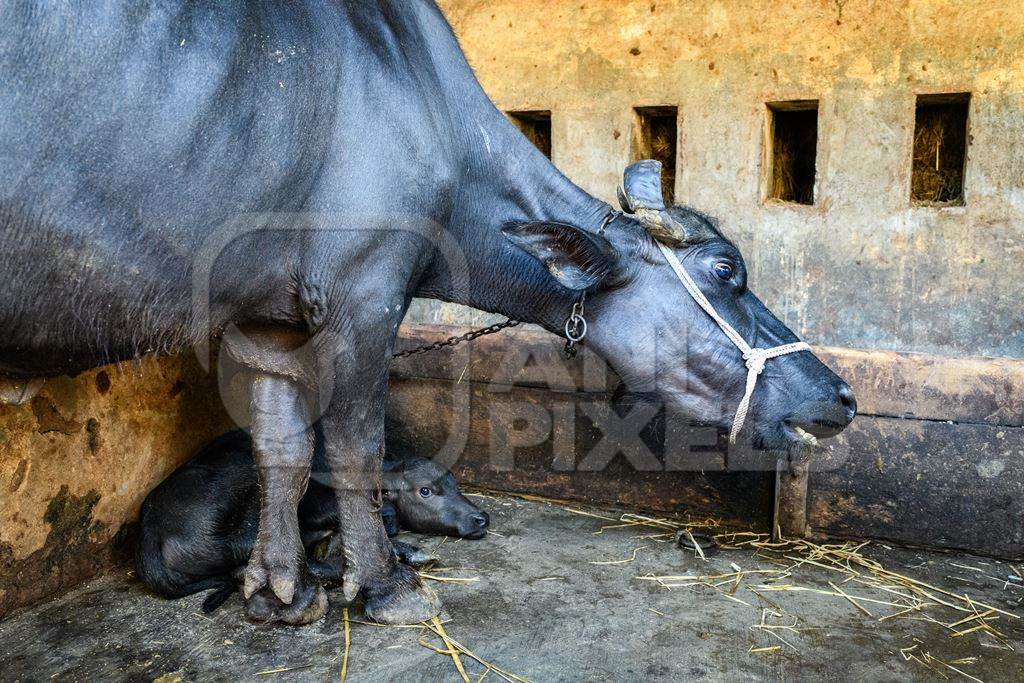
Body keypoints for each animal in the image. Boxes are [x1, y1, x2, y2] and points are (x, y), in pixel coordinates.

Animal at [0, 1, 856, 626]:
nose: (843, 393)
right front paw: (383, 584)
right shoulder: (365, 292)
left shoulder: (264, 320)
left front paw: (280, 591)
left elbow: (282, 446)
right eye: (725, 270)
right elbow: (355, 444)